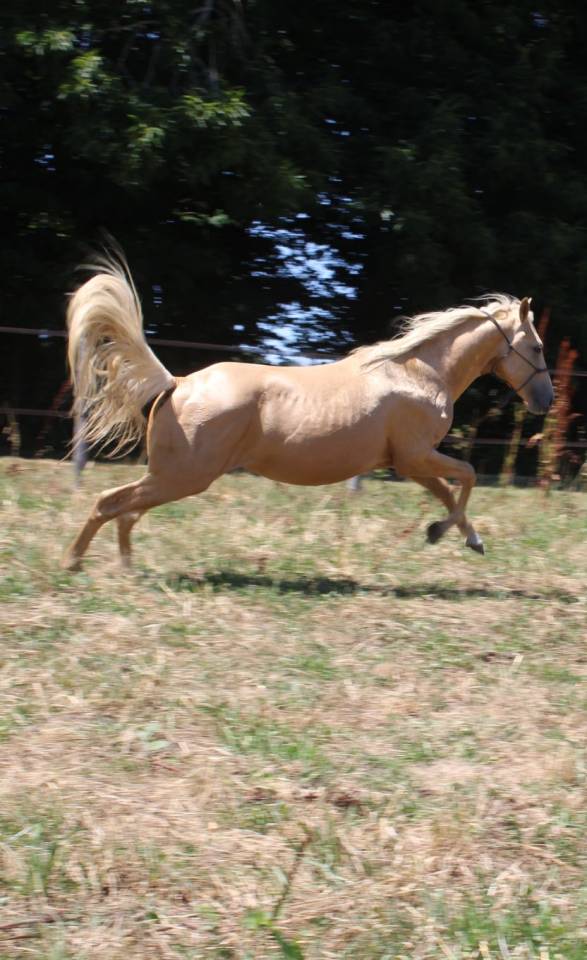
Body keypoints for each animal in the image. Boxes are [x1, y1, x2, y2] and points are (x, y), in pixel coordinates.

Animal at [62, 254, 553, 571]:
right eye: (536, 347)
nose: (546, 400)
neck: (418, 373)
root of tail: (177, 382)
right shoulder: (415, 455)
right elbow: (466, 477)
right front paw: (448, 534)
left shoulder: (408, 462)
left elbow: (450, 493)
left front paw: (459, 537)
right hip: (183, 475)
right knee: (110, 503)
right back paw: (74, 563)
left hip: (172, 476)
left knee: (126, 510)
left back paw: (125, 567)